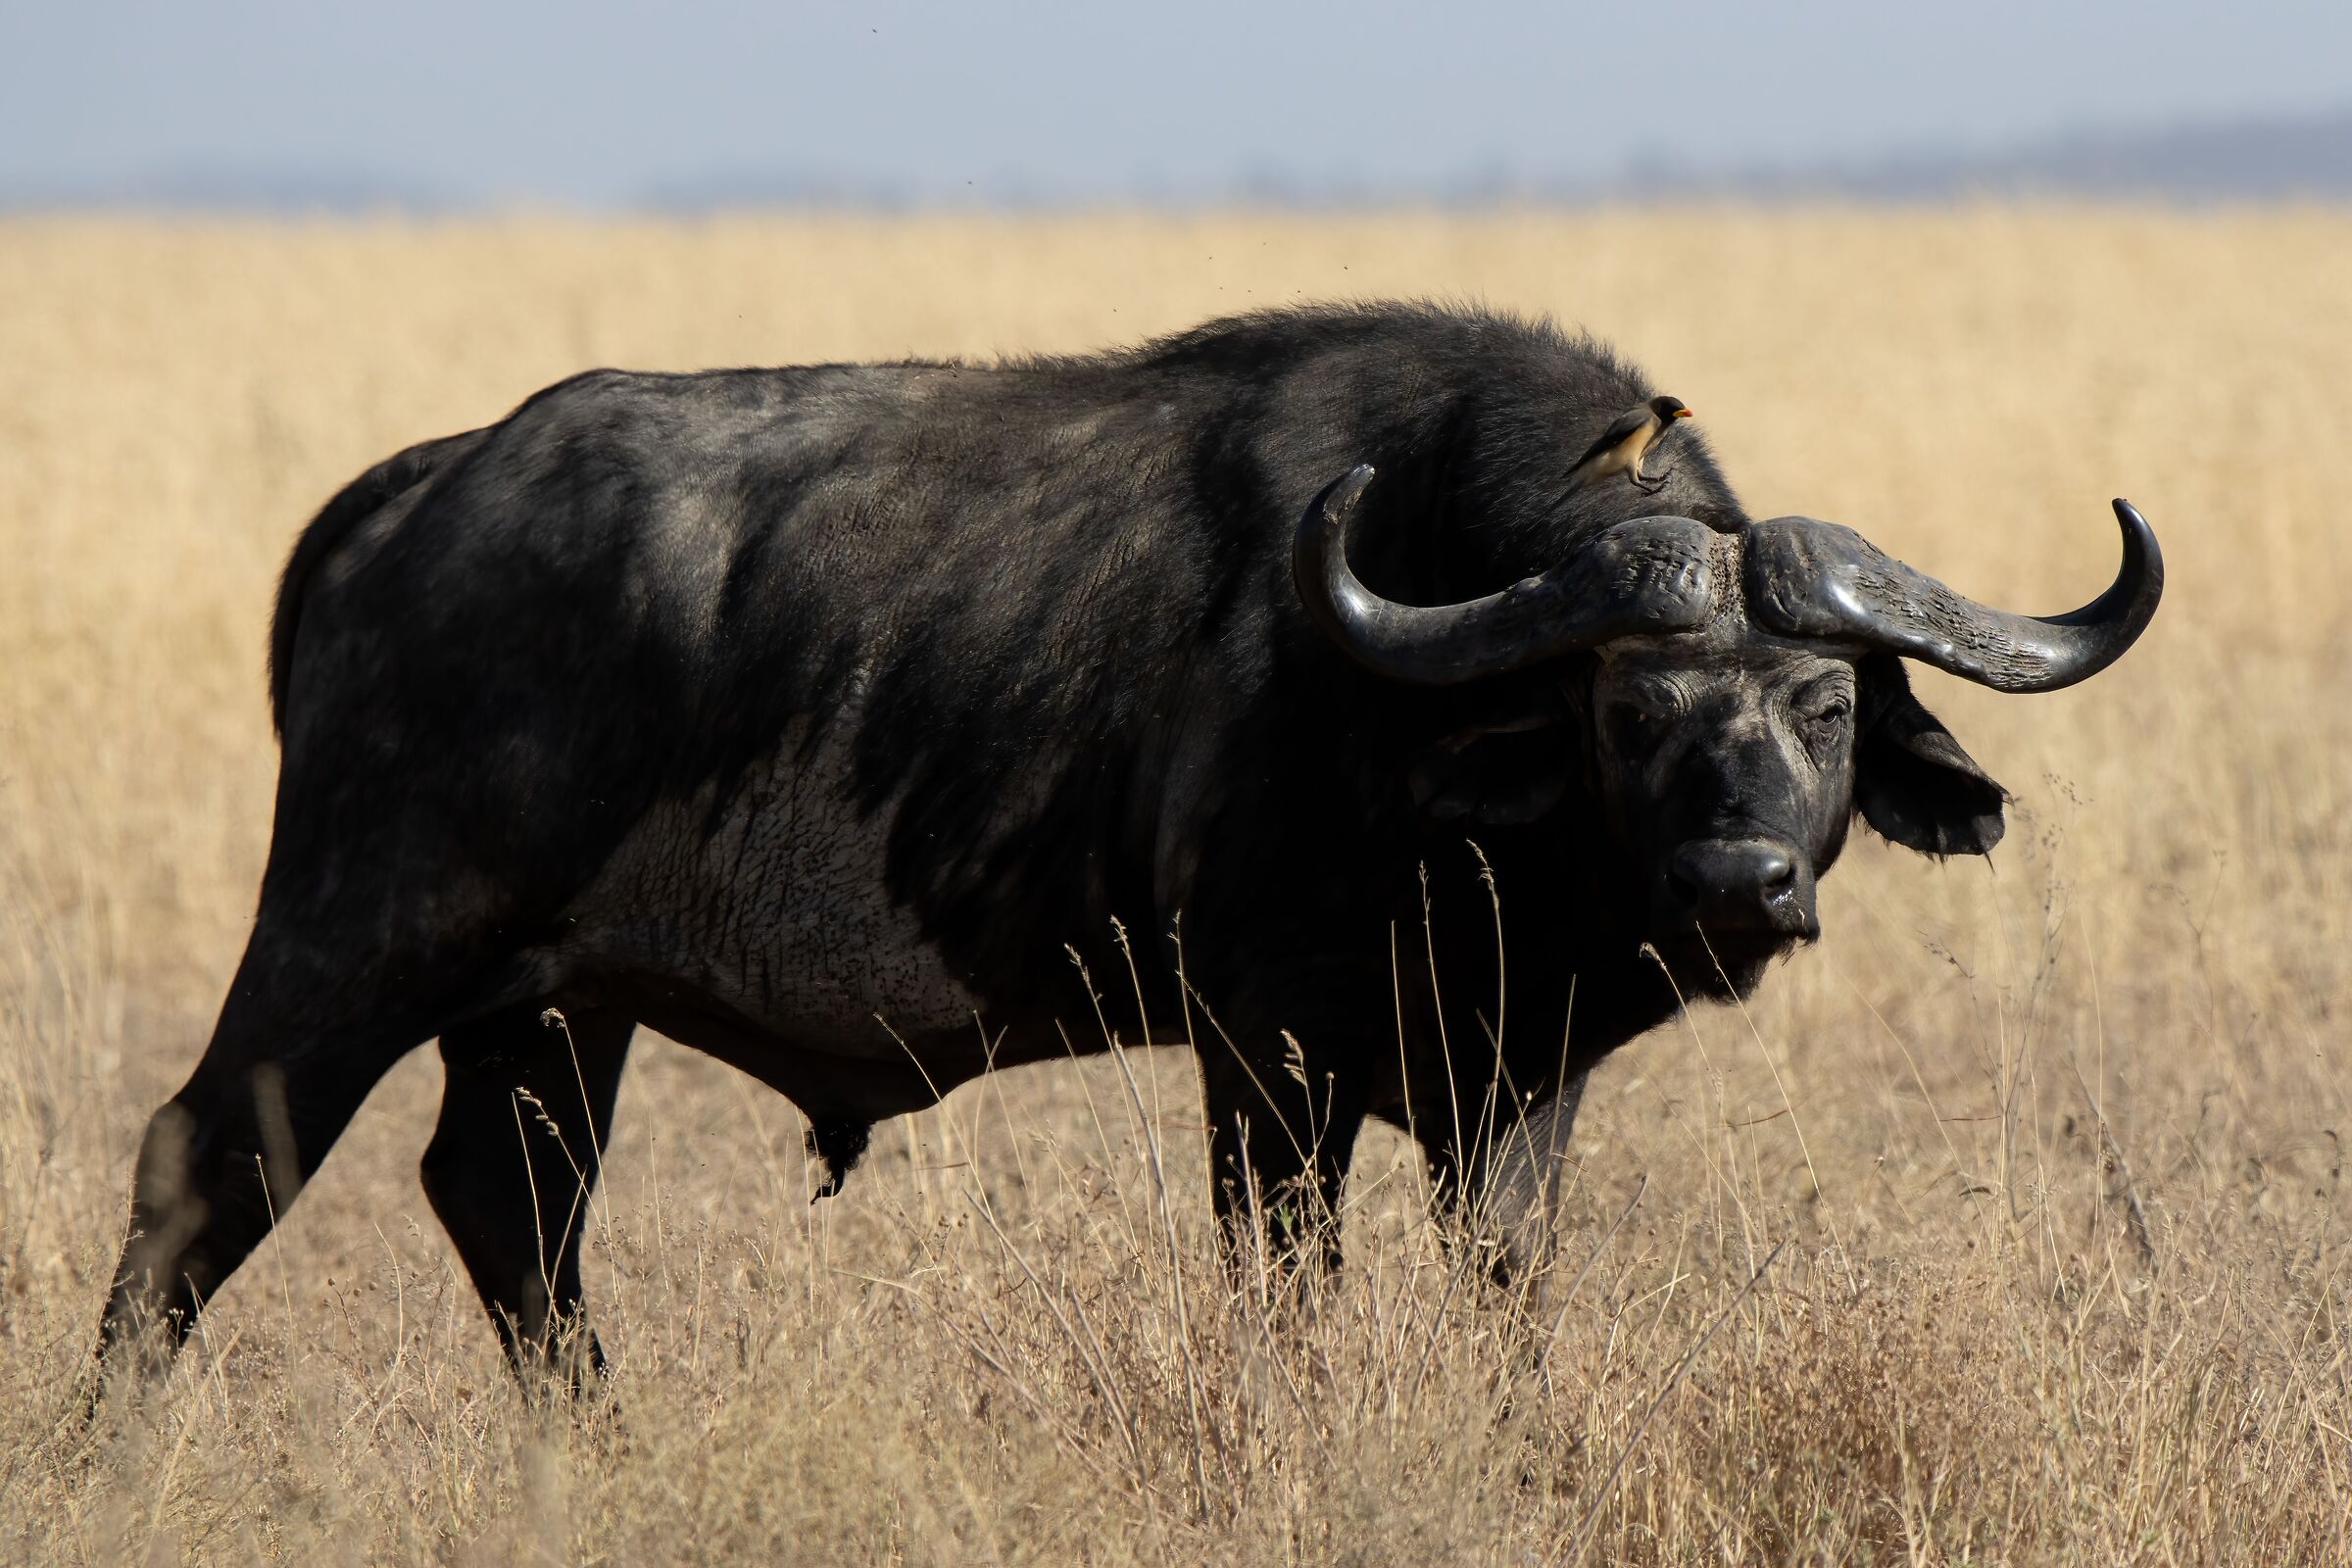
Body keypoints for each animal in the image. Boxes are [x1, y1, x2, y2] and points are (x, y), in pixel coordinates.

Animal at [98, 303, 2159, 1381]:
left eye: (1825, 709)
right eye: (1624, 707)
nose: (1746, 884)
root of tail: (418, 491)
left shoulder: (1516, 1089)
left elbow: (1505, 1303)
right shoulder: (1270, 1067)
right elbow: (1286, 1304)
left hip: (550, 1011)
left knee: (511, 1211)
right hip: (363, 939)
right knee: (206, 1163)